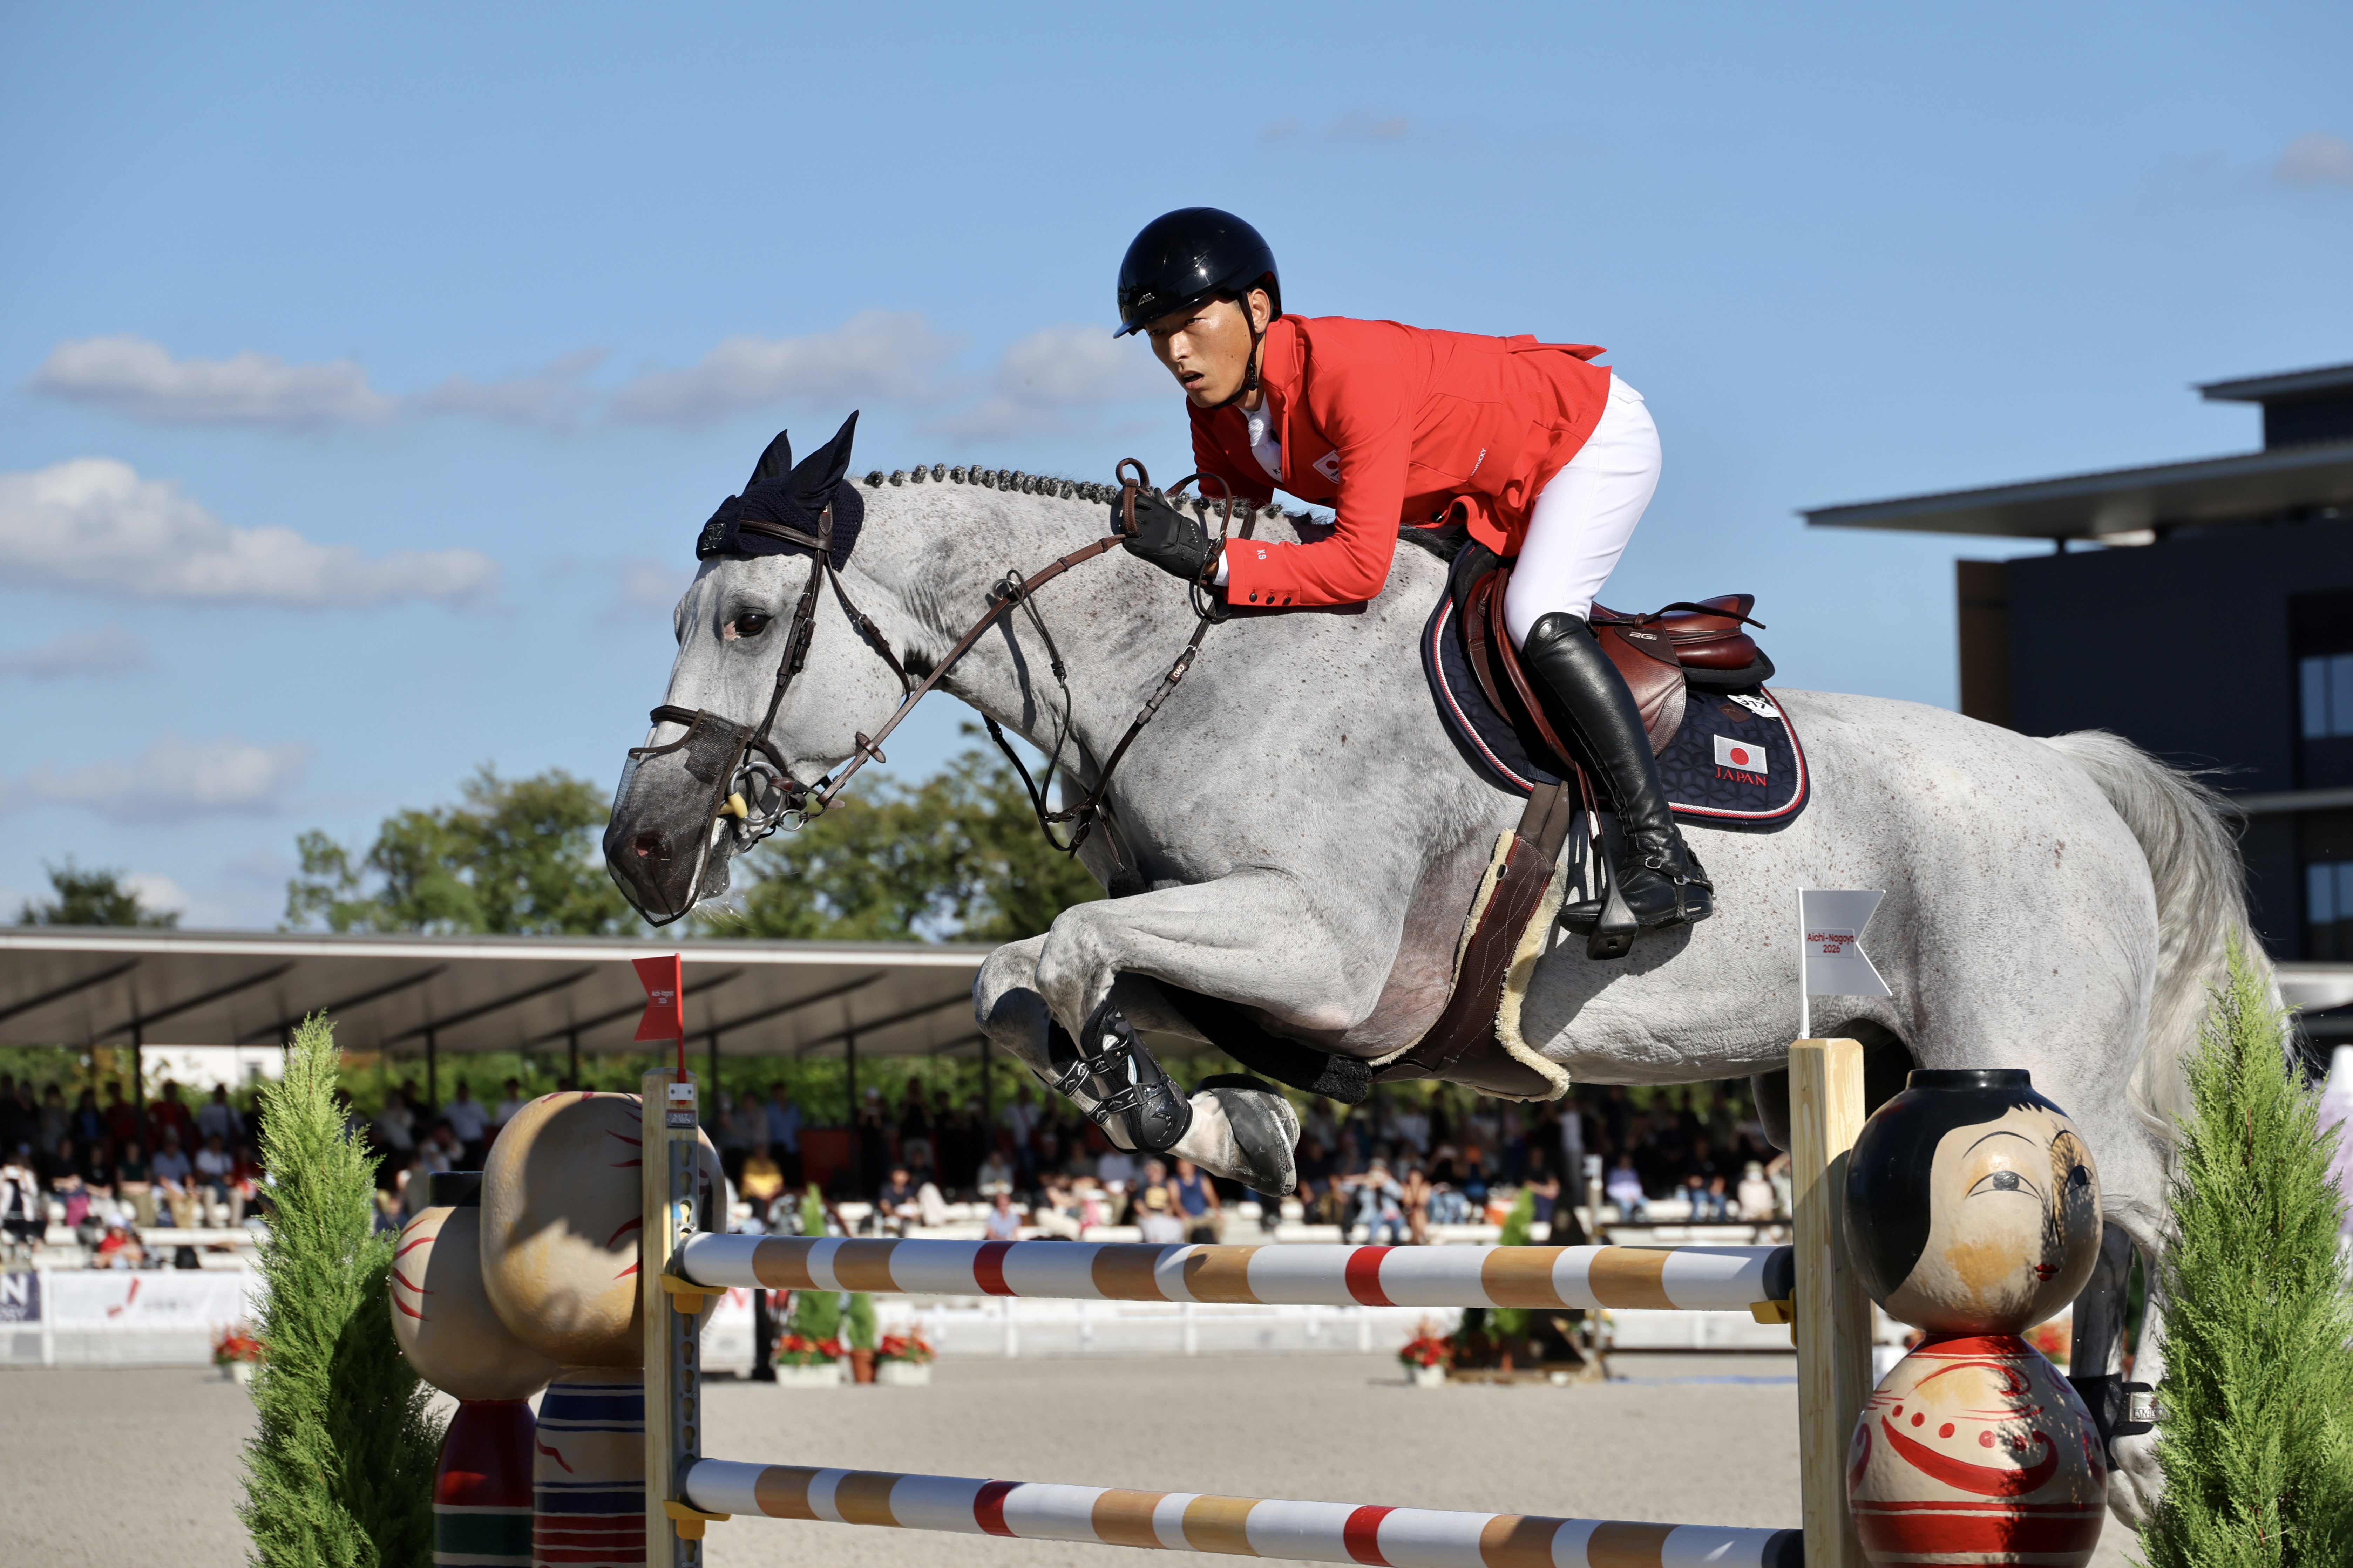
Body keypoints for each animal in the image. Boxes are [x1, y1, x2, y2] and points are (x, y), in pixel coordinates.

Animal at [605, 429, 2262, 1528]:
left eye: (747, 619)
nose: (640, 846)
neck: (1189, 673)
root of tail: (2076, 775)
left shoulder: (1320, 941)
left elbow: (1058, 946)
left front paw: (1174, 1105)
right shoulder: (1261, 948)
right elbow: (1038, 983)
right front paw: (1208, 1118)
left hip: (2035, 1066)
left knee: (2158, 1215)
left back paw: (2151, 1437)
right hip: (1926, 1063)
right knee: (2099, 1243)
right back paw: (2105, 1433)